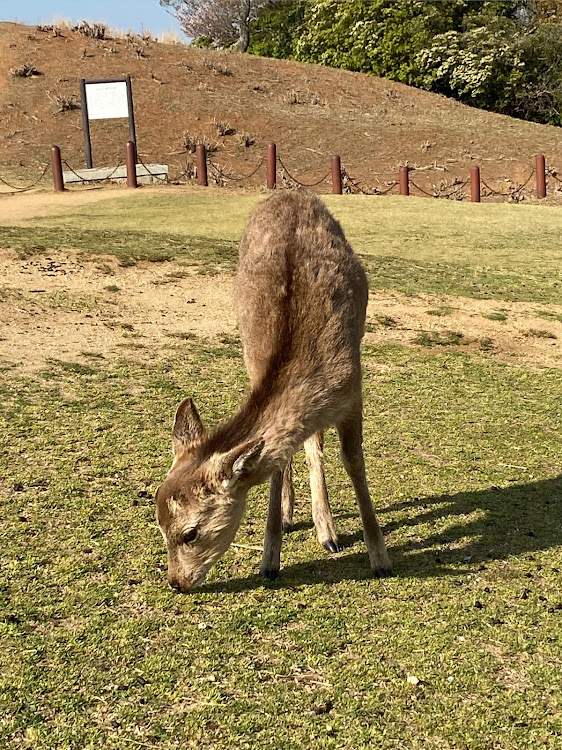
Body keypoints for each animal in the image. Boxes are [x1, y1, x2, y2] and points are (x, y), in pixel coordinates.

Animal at [153, 191, 390, 592]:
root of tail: (290, 192)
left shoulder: (354, 388)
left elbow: (354, 461)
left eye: (189, 533)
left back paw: (327, 532)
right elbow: (278, 462)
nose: (176, 582)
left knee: (314, 444)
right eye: (158, 525)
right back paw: (297, 516)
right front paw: (269, 561)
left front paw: (380, 559)